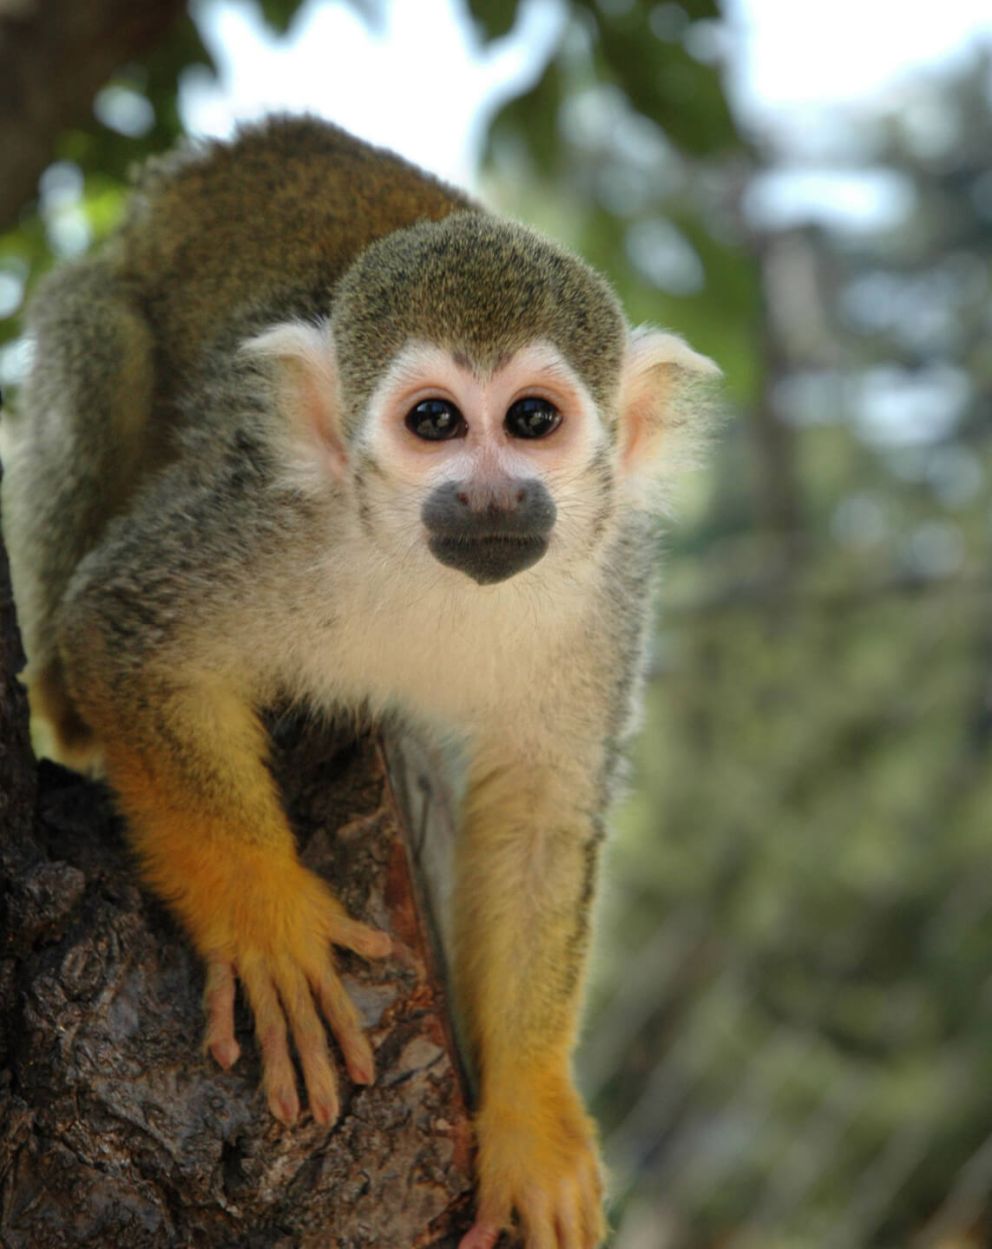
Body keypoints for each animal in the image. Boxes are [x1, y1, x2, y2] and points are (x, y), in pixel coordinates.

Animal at [0, 115, 718, 1249]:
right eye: (433, 422)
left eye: (531, 420)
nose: (489, 498)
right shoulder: (262, 516)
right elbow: (118, 625)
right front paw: (268, 924)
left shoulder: (611, 592)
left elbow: (537, 816)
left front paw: (531, 1111)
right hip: (102, 307)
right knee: (102, 346)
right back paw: (71, 721)